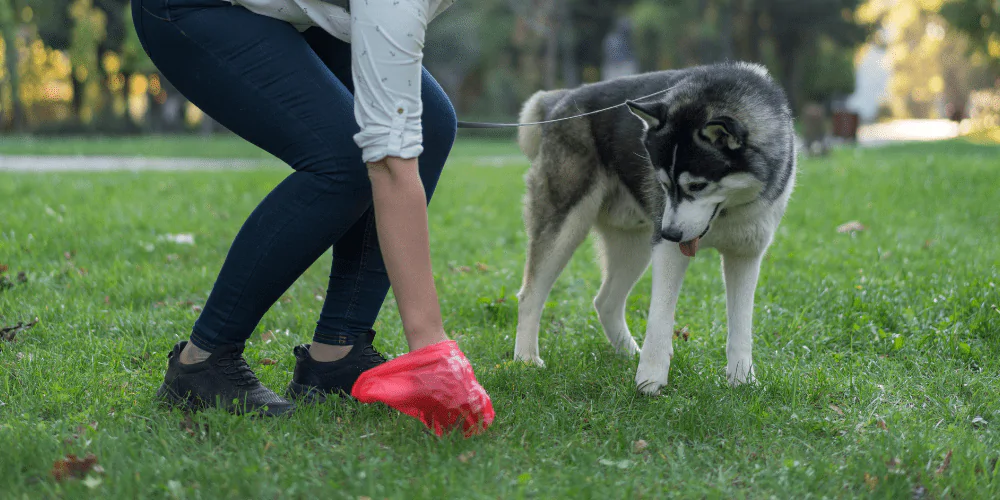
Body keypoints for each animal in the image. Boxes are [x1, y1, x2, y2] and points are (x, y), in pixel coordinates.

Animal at [516, 61, 796, 394]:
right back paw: (525, 359)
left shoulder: (746, 254)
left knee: (606, 301)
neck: (728, 213)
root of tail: (562, 98)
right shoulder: (667, 251)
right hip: (568, 226)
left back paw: (628, 352)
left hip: (635, 245)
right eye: (663, 183)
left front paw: (742, 380)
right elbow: (660, 318)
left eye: (697, 185)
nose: (670, 233)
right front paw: (650, 378)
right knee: (530, 294)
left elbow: (741, 324)